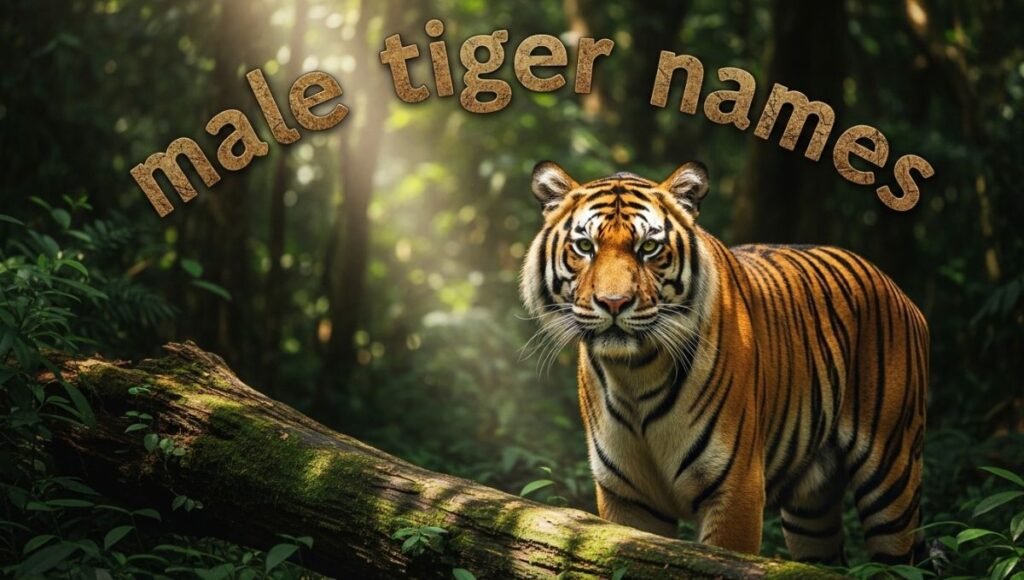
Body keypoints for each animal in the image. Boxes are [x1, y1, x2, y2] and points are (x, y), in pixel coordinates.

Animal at [519, 160, 928, 564]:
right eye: (584, 246)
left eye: (649, 247)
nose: (614, 303)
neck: (635, 373)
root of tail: (896, 288)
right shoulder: (628, 498)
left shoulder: (736, 489)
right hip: (811, 513)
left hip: (891, 479)